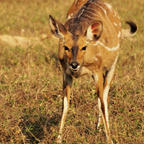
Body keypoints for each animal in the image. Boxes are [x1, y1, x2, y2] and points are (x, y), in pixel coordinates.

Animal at [48, 0, 137, 143]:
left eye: (84, 47)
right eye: (65, 47)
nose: (74, 65)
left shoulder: (97, 71)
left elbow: (102, 102)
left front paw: (109, 139)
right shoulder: (66, 73)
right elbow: (65, 104)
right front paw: (58, 139)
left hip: (113, 65)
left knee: (104, 96)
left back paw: (99, 128)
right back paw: (97, 128)